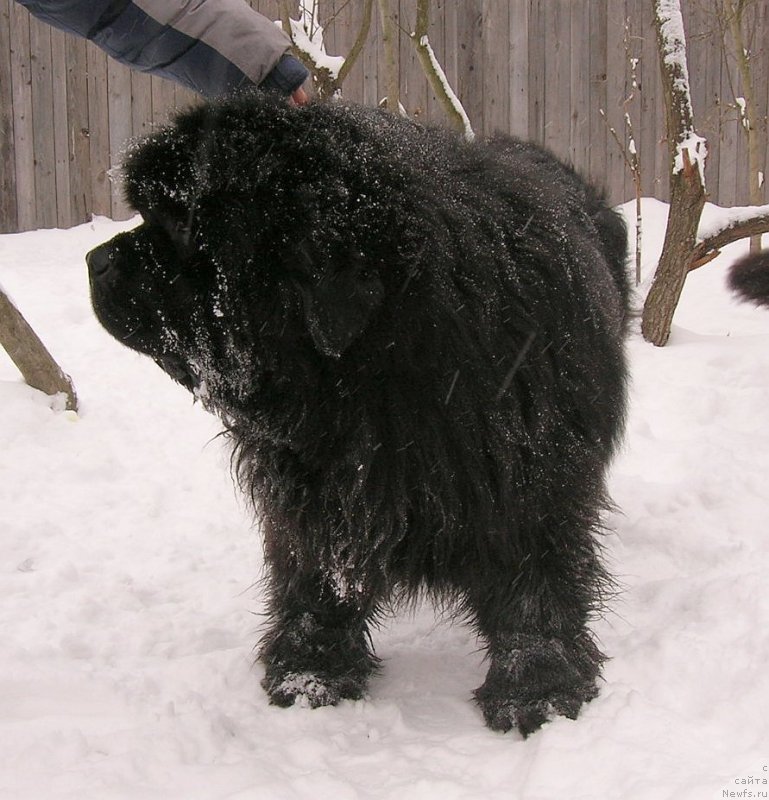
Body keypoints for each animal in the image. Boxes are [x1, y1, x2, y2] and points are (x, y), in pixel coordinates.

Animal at [90, 94, 632, 736]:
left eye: (177, 222)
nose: (94, 260)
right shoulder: (315, 486)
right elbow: (315, 574)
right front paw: (310, 672)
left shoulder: (528, 473)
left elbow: (534, 584)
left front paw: (538, 690)